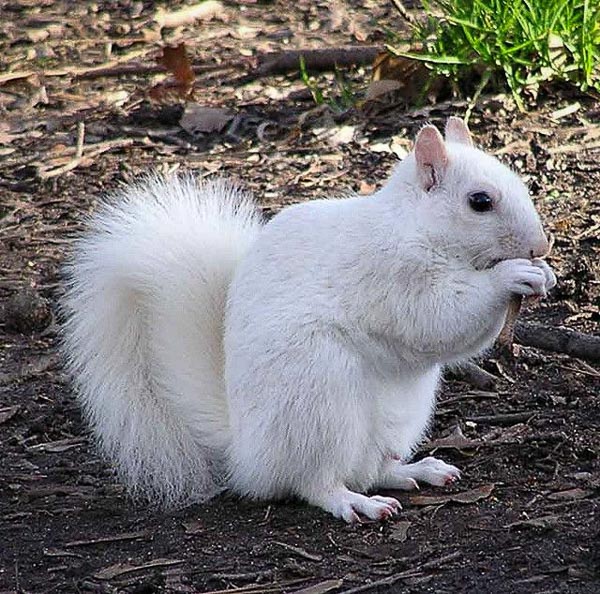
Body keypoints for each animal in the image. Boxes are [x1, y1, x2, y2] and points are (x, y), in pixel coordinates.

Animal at [62, 118, 556, 520]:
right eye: (480, 201)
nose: (541, 245)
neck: (416, 228)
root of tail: (248, 456)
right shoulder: (393, 276)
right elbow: (439, 318)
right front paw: (513, 275)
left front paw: (545, 275)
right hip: (319, 396)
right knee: (315, 482)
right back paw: (353, 503)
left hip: (398, 416)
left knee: (371, 468)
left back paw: (414, 470)